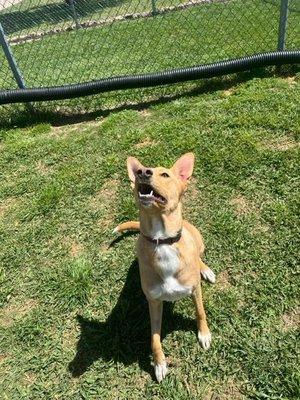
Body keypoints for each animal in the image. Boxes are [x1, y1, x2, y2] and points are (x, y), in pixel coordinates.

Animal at [113, 153, 214, 382]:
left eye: (165, 174)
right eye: (138, 171)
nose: (142, 172)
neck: (162, 240)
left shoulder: (195, 290)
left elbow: (200, 312)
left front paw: (204, 334)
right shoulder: (154, 303)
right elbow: (154, 338)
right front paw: (159, 364)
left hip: (198, 239)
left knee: (199, 255)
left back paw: (205, 269)